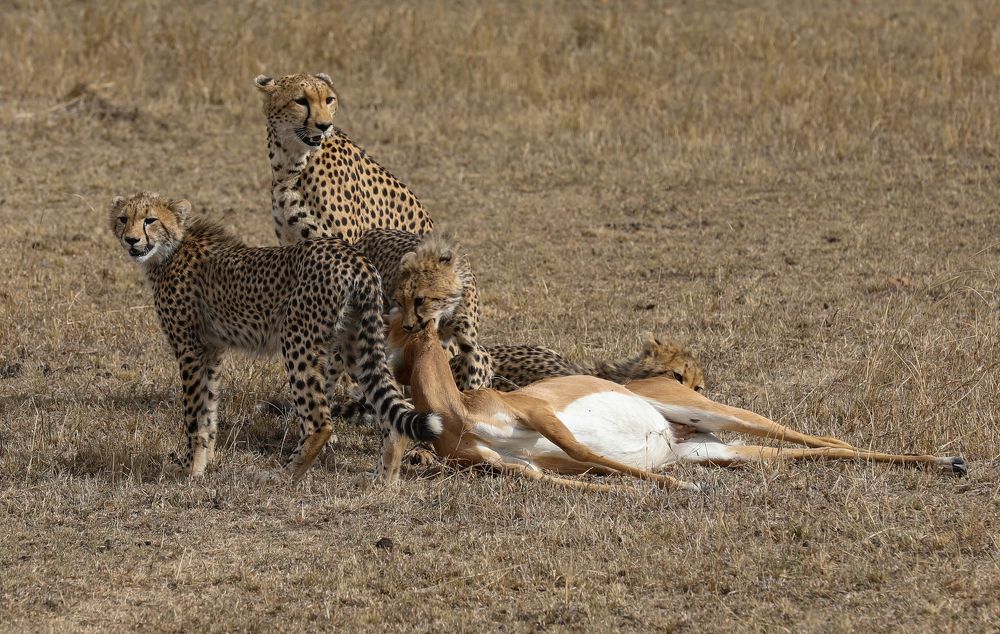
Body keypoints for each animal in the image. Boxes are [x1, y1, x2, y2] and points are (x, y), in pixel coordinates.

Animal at [109, 192, 441, 482]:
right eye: (124, 218)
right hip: (356, 342)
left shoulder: (189, 349)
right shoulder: (212, 350)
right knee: (391, 406)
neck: (170, 250)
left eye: (150, 220)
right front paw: (206, 460)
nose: (131, 239)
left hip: (297, 339)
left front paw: (190, 468)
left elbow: (194, 413)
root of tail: (354, 256)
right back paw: (384, 480)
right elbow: (209, 409)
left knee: (321, 421)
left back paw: (284, 474)